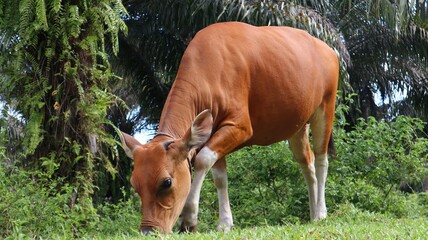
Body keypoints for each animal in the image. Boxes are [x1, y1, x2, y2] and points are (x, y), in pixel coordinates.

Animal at [120, 21, 338, 233]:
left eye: (166, 182)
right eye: (135, 185)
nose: (148, 231)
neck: (211, 68)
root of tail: (328, 49)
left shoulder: (240, 127)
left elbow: (202, 160)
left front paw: (189, 219)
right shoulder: (212, 135)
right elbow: (219, 178)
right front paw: (225, 223)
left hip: (326, 108)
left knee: (321, 160)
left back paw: (322, 212)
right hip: (297, 126)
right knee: (307, 162)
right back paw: (313, 214)